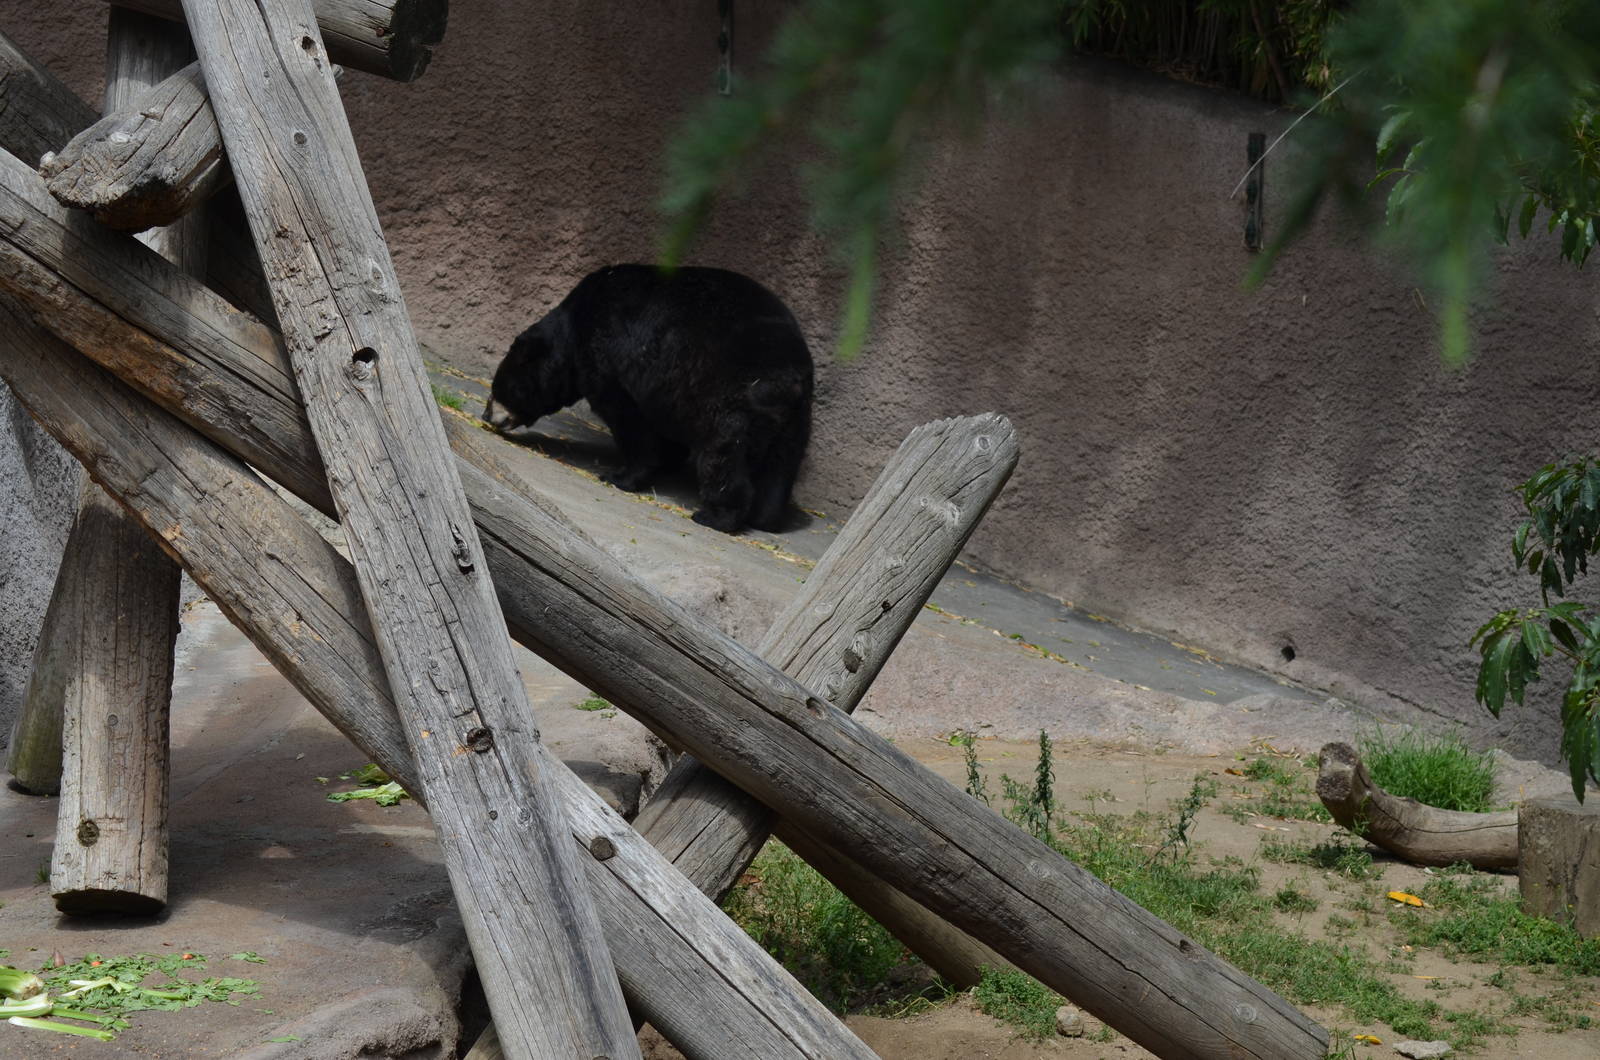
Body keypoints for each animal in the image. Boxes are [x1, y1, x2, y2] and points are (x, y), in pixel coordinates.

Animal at [483, 264, 814, 533]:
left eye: (498, 389)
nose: (487, 415)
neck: (576, 327)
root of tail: (792, 374)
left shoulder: (614, 357)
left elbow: (630, 421)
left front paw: (619, 476)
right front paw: (666, 463)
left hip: (733, 393)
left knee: (723, 452)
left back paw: (714, 516)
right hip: (795, 416)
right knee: (781, 462)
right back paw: (766, 517)